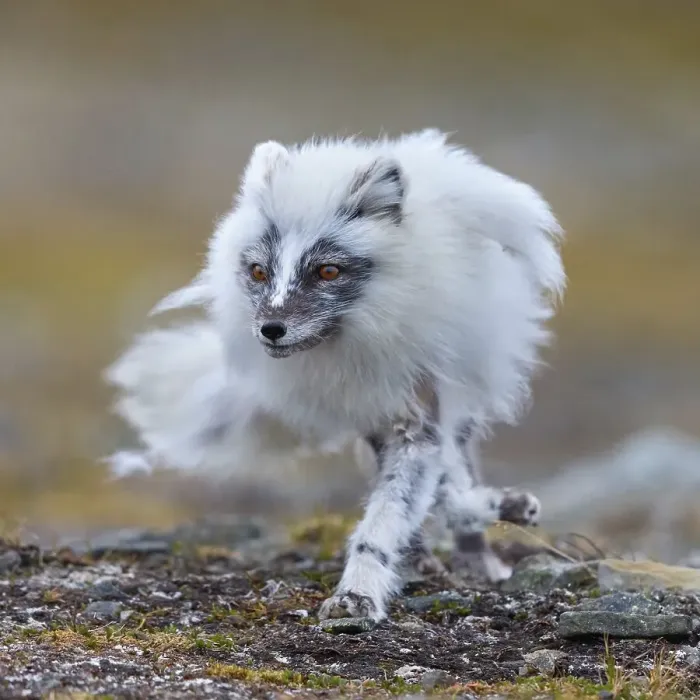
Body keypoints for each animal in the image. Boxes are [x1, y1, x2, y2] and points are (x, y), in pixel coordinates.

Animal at [105, 129, 565, 622]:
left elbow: (390, 513)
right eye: (258, 272)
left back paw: (477, 550)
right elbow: (414, 499)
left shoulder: (416, 419)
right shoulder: (380, 413)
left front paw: (358, 594)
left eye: (328, 271)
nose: (270, 329)